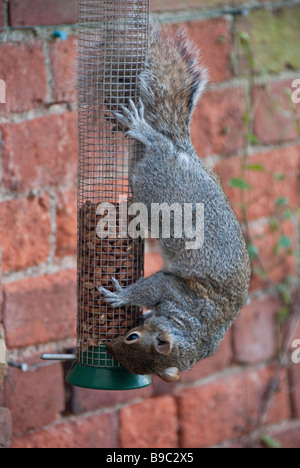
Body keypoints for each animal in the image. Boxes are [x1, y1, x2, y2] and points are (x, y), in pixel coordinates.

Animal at [98, 27, 251, 382]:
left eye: (131, 339)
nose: (109, 348)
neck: (193, 330)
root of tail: (182, 152)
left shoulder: (174, 294)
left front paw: (119, 297)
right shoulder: (173, 290)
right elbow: (153, 286)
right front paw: (121, 296)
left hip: (150, 179)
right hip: (156, 183)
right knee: (156, 143)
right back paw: (140, 128)